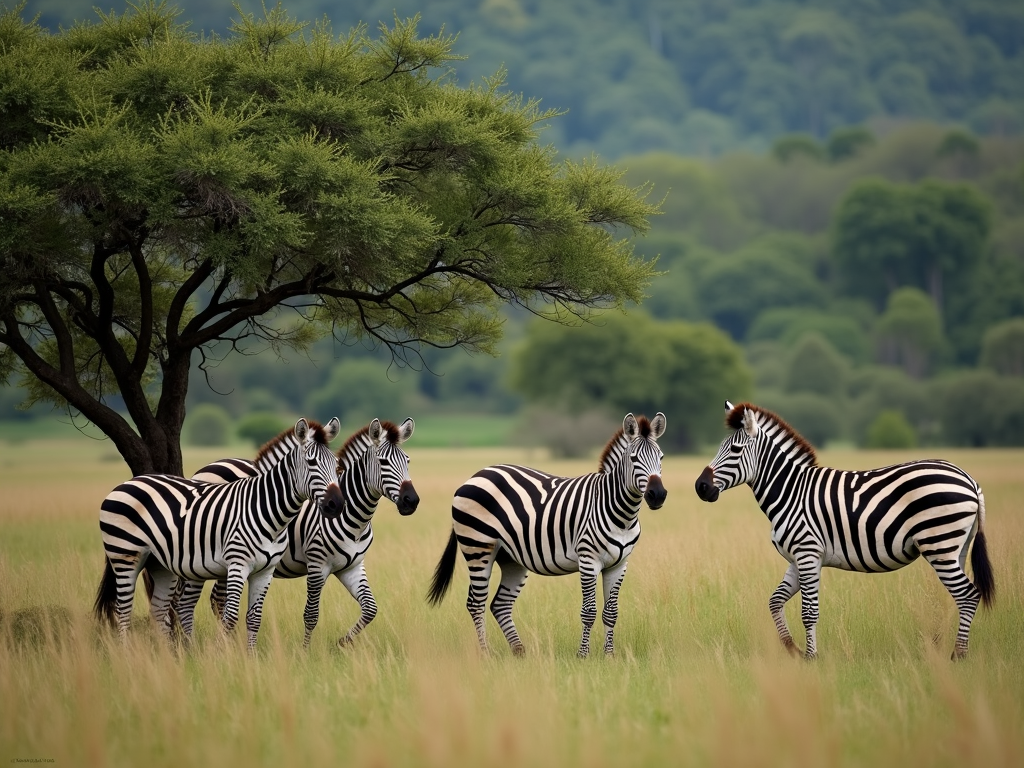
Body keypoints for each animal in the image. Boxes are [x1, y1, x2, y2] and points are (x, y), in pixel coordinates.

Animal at [93, 417, 339, 647]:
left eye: (337, 465)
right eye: (311, 462)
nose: (336, 503)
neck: (267, 511)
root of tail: (127, 482)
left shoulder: (265, 571)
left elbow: (254, 618)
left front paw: (250, 658)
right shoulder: (237, 565)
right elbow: (230, 617)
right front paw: (225, 656)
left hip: (159, 564)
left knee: (159, 611)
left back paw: (171, 657)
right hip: (124, 555)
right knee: (124, 611)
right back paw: (129, 654)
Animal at [177, 417, 419, 647]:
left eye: (408, 461)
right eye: (383, 462)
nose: (412, 501)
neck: (355, 520)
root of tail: (211, 464)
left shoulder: (352, 566)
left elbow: (370, 608)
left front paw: (342, 643)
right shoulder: (317, 565)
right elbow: (311, 615)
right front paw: (305, 653)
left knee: (216, 599)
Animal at [428, 411, 667, 659]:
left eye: (661, 457)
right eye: (634, 458)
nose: (657, 494)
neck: (621, 514)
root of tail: (475, 475)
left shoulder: (619, 565)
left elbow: (611, 612)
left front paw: (609, 656)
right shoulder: (588, 560)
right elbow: (589, 611)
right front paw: (583, 655)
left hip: (510, 558)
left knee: (500, 604)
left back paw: (519, 651)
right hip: (477, 547)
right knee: (476, 603)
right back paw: (486, 655)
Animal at [692, 403, 995, 663]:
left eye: (735, 450)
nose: (700, 487)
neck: (791, 492)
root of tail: (969, 479)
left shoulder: (807, 553)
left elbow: (809, 611)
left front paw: (811, 657)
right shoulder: (797, 559)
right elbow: (774, 601)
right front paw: (792, 649)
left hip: (938, 544)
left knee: (968, 595)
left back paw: (958, 656)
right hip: (956, 548)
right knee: (960, 597)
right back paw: (948, 648)